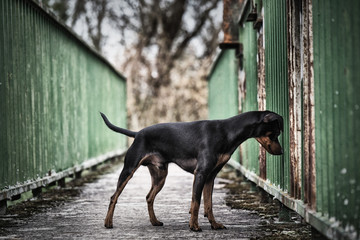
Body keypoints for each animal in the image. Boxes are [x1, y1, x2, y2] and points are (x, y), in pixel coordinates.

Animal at [100, 110, 284, 231]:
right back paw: (108, 223)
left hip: (160, 176)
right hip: (129, 170)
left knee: (149, 197)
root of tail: (137, 133)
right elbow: (196, 202)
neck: (227, 132)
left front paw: (214, 224)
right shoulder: (200, 173)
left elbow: (209, 204)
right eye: (275, 134)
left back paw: (155, 222)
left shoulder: (210, 177)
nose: (282, 152)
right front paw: (194, 226)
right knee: (114, 197)